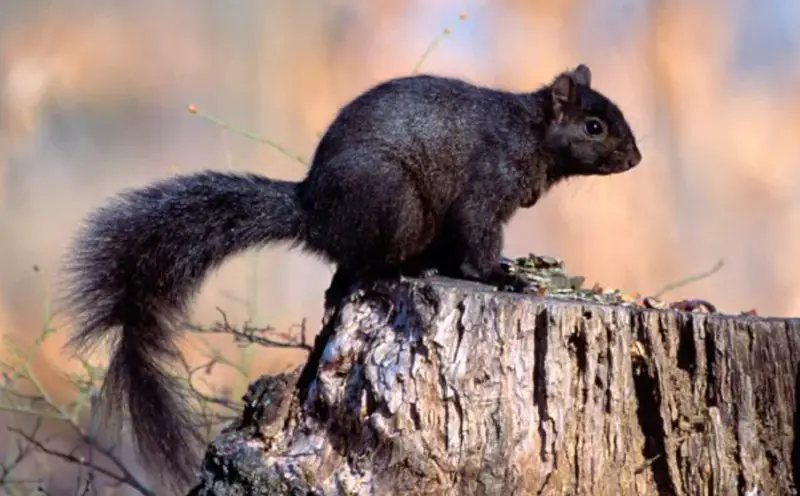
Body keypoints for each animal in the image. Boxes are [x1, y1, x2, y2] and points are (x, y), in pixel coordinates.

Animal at [61, 64, 642, 486]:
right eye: (593, 127)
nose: (635, 158)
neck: (531, 135)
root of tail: (313, 211)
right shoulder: (485, 187)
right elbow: (477, 241)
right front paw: (502, 276)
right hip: (394, 201)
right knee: (360, 265)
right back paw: (400, 270)